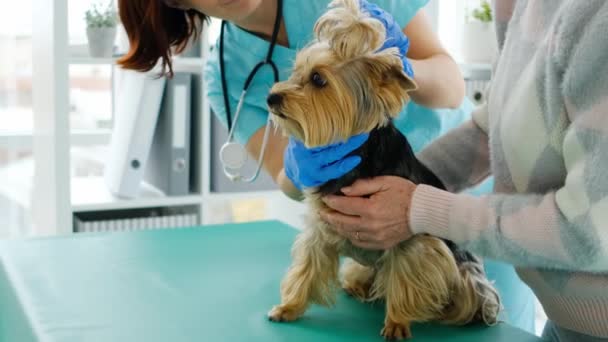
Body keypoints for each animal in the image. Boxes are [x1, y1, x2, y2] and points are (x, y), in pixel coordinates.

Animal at [266, 0, 498, 340]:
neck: (357, 152)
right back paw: (359, 287)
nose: (271, 97)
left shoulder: (411, 242)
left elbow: (405, 280)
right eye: (296, 72)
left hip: (467, 276)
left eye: (319, 79)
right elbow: (306, 267)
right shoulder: (322, 227)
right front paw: (289, 306)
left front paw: (397, 322)